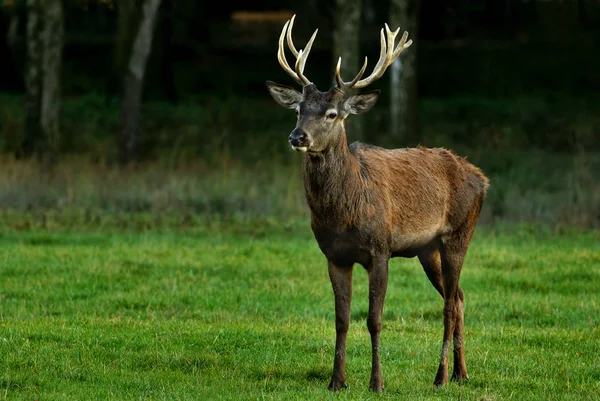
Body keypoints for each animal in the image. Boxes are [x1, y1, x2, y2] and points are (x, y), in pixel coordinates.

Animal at [266, 15, 488, 390]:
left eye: (332, 114)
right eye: (298, 109)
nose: (298, 137)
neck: (345, 212)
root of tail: (482, 177)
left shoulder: (380, 249)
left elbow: (374, 319)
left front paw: (377, 382)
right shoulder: (334, 256)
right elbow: (341, 319)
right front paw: (337, 381)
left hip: (459, 233)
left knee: (448, 305)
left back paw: (441, 376)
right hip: (427, 249)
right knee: (457, 297)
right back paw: (462, 372)